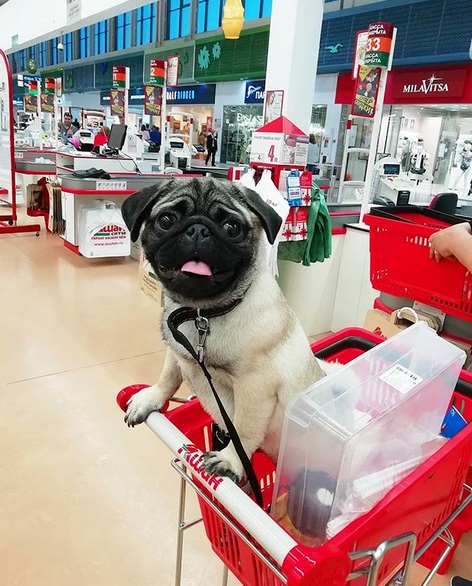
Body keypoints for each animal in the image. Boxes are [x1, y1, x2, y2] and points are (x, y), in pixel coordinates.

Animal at [121, 176, 328, 482]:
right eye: (167, 220)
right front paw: (153, 397)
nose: (198, 229)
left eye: (231, 227)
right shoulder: (177, 350)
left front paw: (231, 460)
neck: (202, 314)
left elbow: (243, 430)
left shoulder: (254, 386)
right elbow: (169, 375)